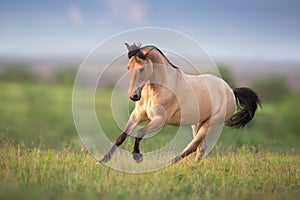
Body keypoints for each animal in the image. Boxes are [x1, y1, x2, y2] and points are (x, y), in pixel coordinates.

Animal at [101, 43, 260, 163]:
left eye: (142, 69)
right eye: (128, 67)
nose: (133, 96)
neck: (158, 88)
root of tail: (231, 91)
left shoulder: (159, 120)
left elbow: (139, 133)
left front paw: (137, 157)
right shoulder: (137, 116)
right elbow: (121, 137)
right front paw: (104, 160)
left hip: (210, 123)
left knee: (193, 146)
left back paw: (169, 163)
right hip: (197, 123)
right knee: (201, 148)